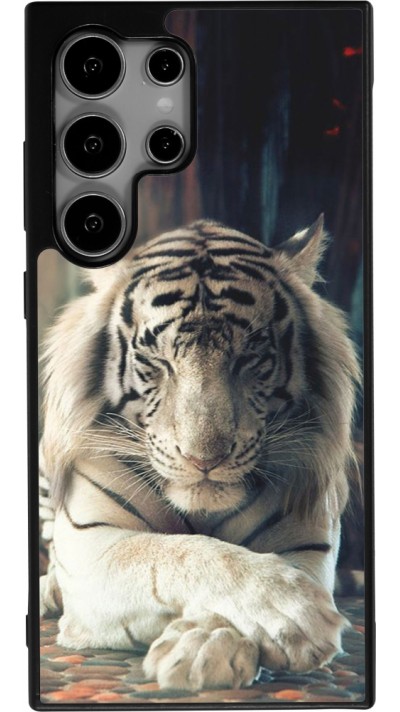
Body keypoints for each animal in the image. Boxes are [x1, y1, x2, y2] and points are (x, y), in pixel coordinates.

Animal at [39, 215, 360, 691]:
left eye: (250, 358)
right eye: (156, 361)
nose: (203, 460)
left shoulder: (307, 543)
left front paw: (205, 647)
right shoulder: (92, 544)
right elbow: (178, 552)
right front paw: (293, 612)